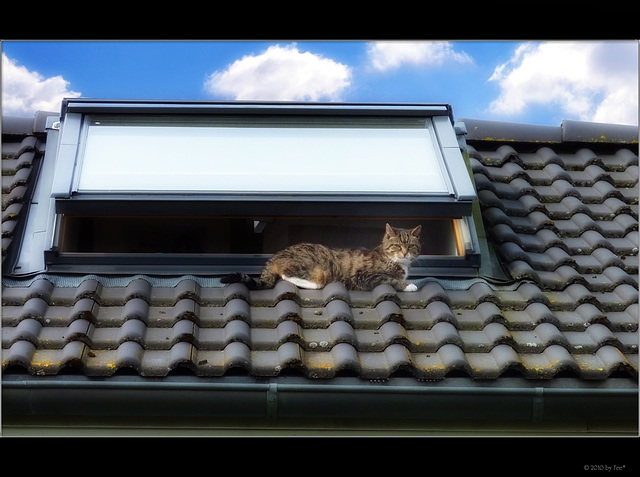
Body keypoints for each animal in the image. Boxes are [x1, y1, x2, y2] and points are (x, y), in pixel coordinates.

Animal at [222, 222, 422, 290]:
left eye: (411, 246)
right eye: (397, 246)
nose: (404, 252)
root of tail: (274, 257)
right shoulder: (366, 276)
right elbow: (390, 279)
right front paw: (409, 285)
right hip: (317, 267)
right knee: (288, 275)